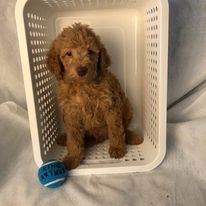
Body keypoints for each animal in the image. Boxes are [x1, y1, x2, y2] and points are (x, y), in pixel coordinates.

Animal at [46, 23, 143, 170]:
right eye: (68, 53)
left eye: (90, 51)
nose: (82, 70)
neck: (83, 85)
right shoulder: (71, 112)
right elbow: (73, 137)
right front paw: (73, 157)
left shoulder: (110, 105)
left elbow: (115, 128)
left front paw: (117, 148)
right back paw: (69, 139)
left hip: (127, 107)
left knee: (123, 129)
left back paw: (131, 137)